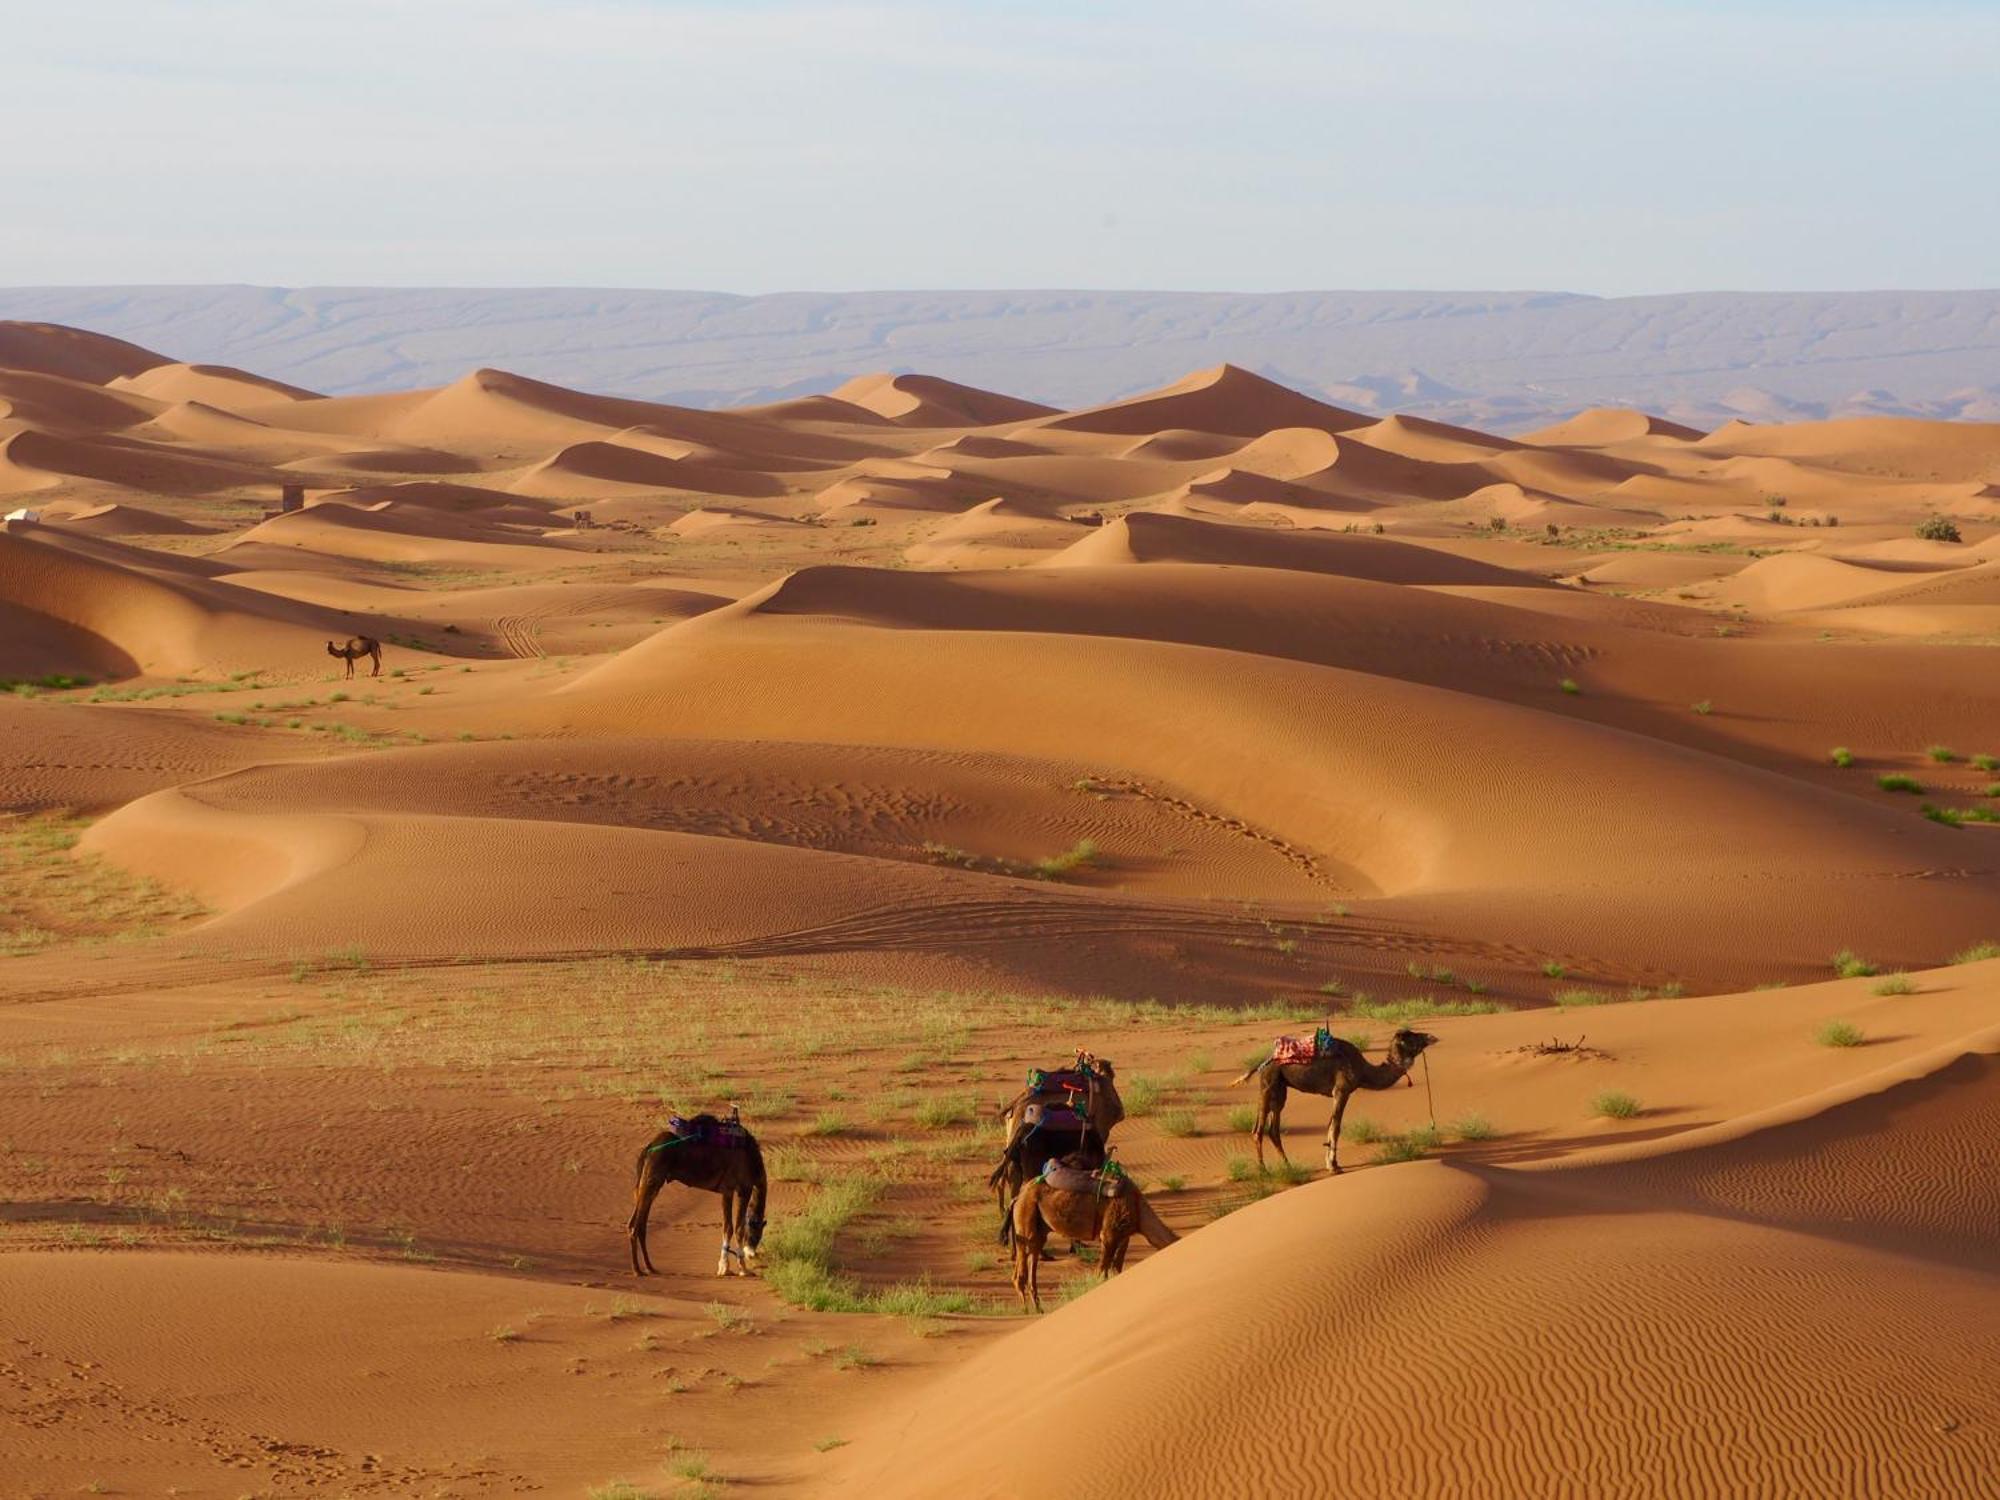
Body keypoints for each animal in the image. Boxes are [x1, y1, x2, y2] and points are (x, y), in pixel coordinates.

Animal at [624, 1120, 764, 1280]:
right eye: (756, 1235)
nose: (752, 1254)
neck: (751, 1159)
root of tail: (648, 1148)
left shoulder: (731, 1190)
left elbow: (730, 1226)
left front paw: (727, 1268)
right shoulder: (738, 1188)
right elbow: (734, 1228)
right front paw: (737, 1269)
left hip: (649, 1182)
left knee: (639, 1224)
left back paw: (650, 1268)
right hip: (652, 1179)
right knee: (636, 1225)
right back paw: (637, 1270)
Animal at [1008, 1160, 1176, 1312]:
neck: (1139, 1210)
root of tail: (1017, 1197)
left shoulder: (1124, 1237)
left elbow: (1116, 1269)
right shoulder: (1110, 1233)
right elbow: (1102, 1272)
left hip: (1039, 1227)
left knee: (1033, 1255)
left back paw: (1038, 1309)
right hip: (1026, 1213)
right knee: (1022, 1266)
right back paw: (1026, 1310)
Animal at [1224, 1032, 1448, 1176]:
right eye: (1412, 1037)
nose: (1431, 1037)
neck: (1364, 1069)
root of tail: (1263, 1062)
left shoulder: (1339, 1093)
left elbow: (1332, 1125)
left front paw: (1332, 1163)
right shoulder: (1341, 1090)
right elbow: (1336, 1126)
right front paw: (1334, 1166)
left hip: (1280, 1090)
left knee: (1273, 1129)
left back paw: (1288, 1166)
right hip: (1269, 1085)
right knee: (1258, 1130)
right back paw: (1264, 1171)